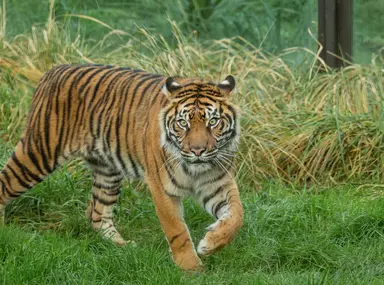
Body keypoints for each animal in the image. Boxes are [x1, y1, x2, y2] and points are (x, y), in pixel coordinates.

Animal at [0, 63, 243, 270]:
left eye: (213, 122)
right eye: (183, 123)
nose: (197, 151)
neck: (196, 168)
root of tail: (55, 69)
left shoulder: (218, 182)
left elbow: (237, 216)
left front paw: (210, 244)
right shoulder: (161, 188)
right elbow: (177, 230)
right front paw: (191, 268)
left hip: (107, 172)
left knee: (97, 213)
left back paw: (122, 246)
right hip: (38, 154)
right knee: (5, 182)